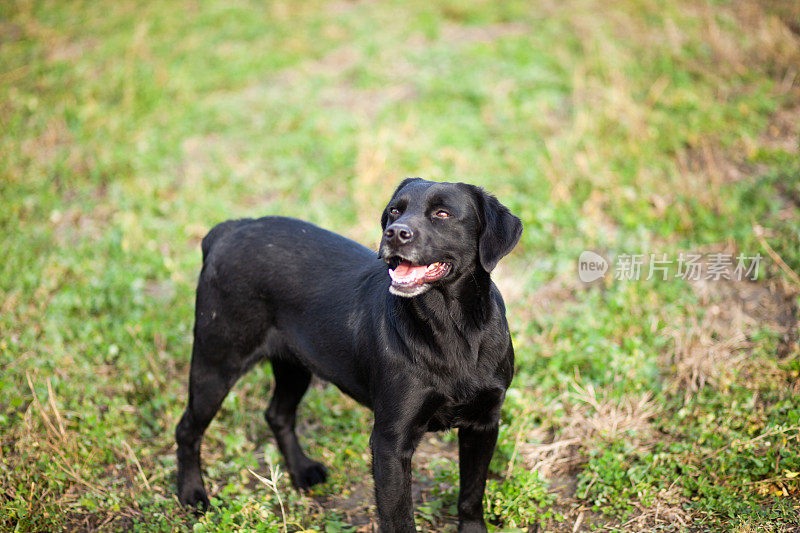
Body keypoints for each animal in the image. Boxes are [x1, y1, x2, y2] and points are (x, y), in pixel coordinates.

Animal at [176, 180, 520, 532]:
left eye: (442, 213)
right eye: (395, 210)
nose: (395, 233)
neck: (452, 330)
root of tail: (229, 229)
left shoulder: (483, 423)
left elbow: (471, 494)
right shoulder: (390, 442)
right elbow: (399, 518)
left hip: (294, 365)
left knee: (277, 414)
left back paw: (301, 470)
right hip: (216, 363)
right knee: (187, 429)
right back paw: (193, 495)